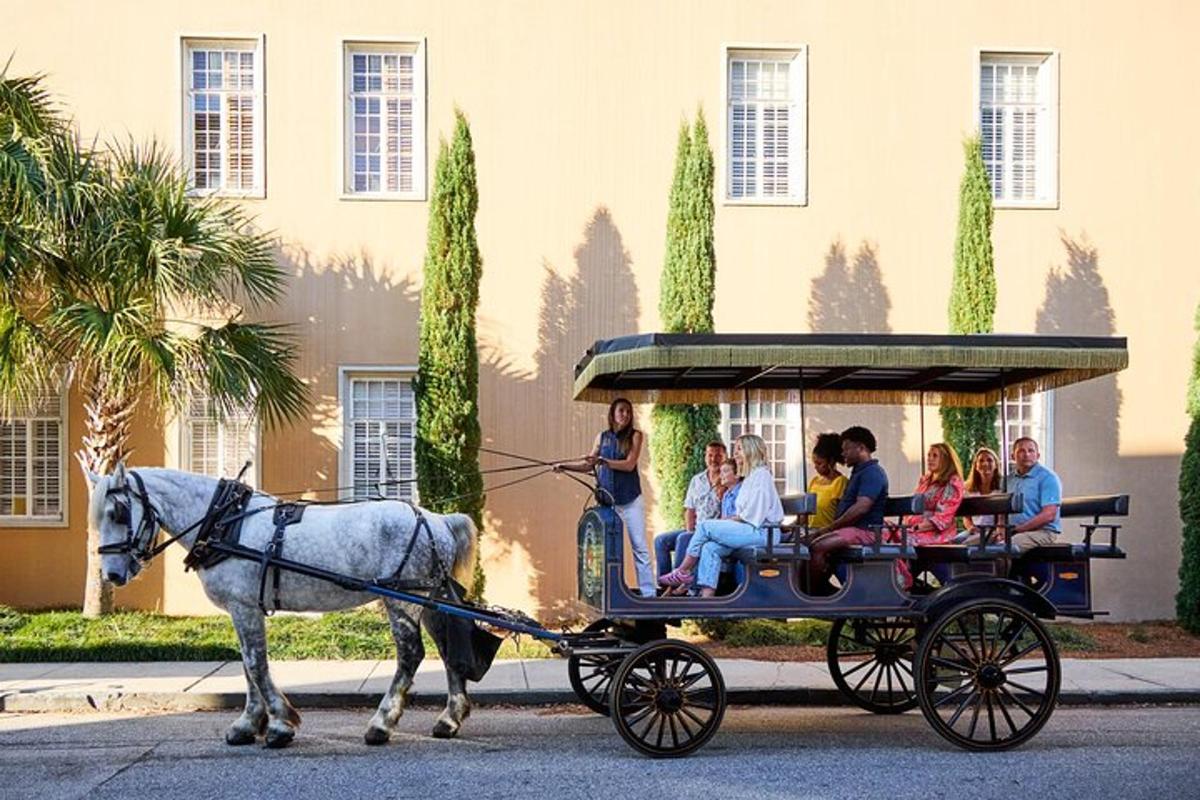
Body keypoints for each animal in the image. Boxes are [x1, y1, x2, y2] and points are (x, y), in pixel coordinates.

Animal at [88, 465, 477, 748]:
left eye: (119, 512)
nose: (112, 573)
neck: (226, 524)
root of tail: (438, 519)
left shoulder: (243, 606)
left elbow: (256, 665)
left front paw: (278, 725)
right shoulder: (243, 608)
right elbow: (248, 666)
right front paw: (248, 724)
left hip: (401, 600)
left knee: (410, 655)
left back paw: (381, 724)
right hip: (431, 600)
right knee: (449, 651)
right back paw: (449, 719)